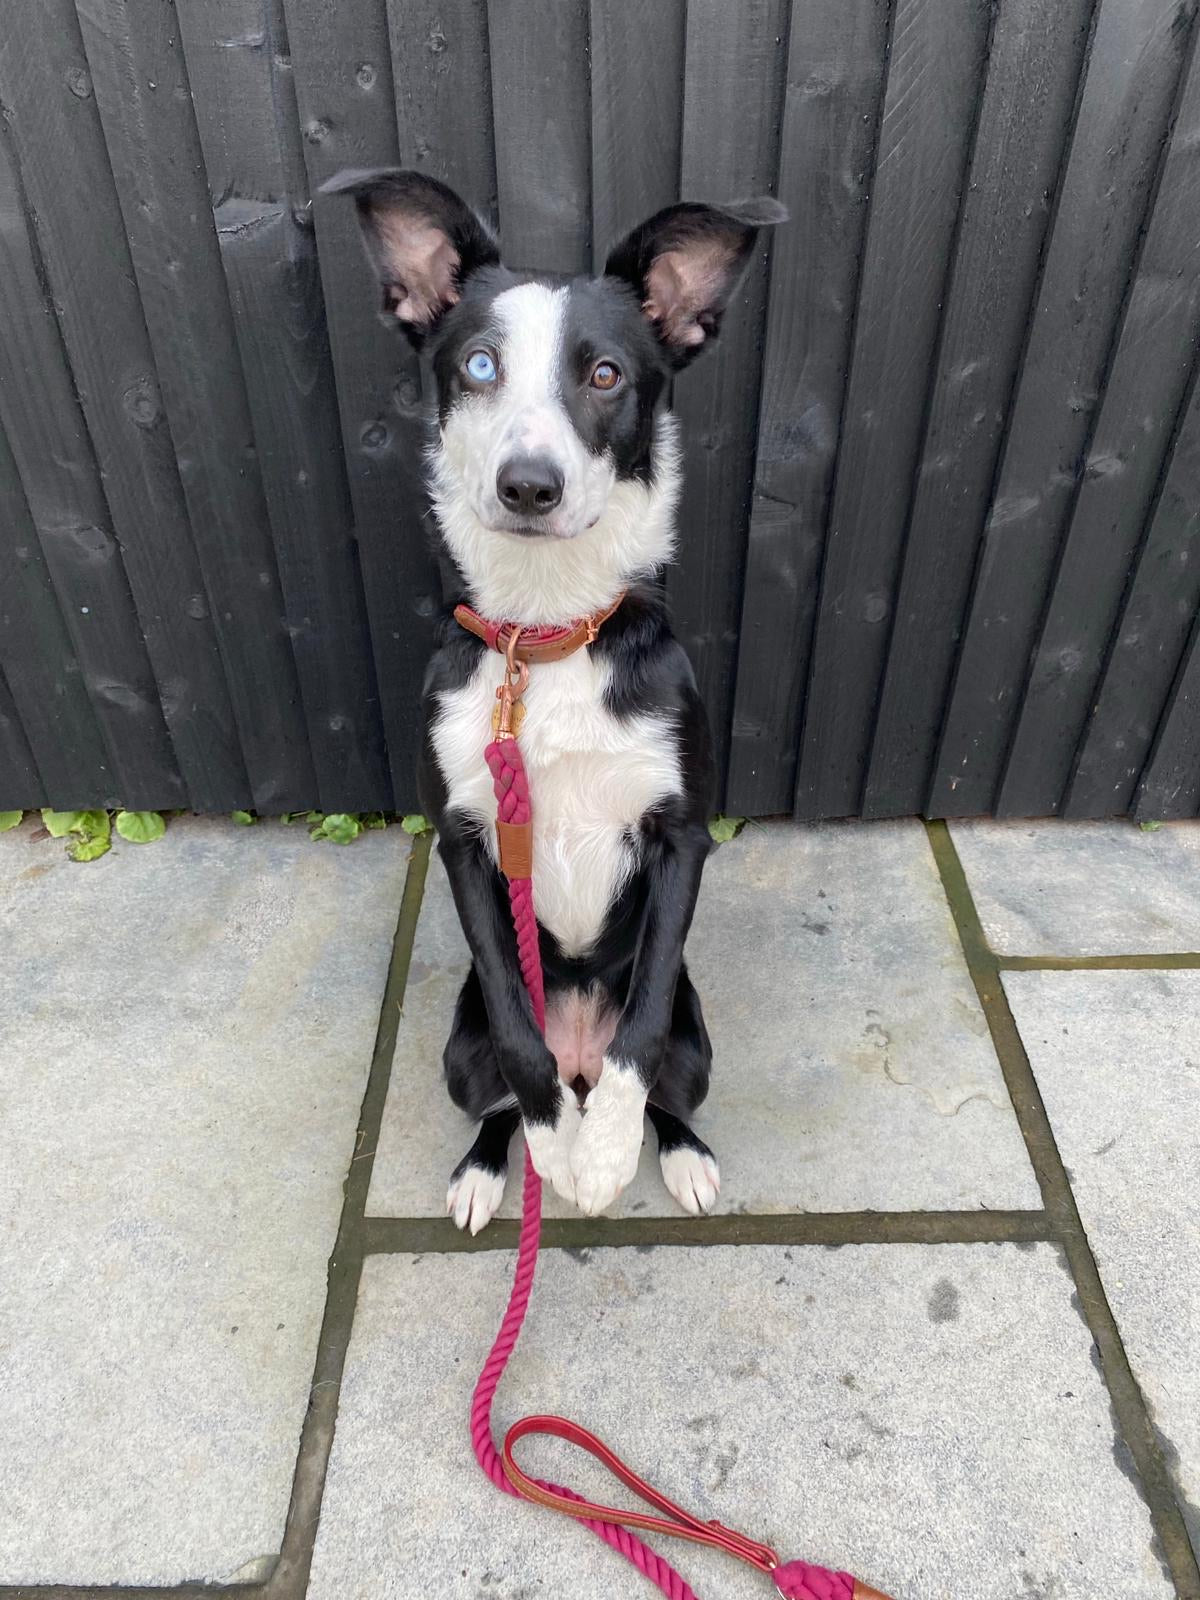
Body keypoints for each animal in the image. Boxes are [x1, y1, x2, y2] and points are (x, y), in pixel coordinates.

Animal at [326, 172, 790, 1222]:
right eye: (480, 365)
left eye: (607, 374)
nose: (528, 486)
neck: (545, 639)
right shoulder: (464, 840)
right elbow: (516, 1026)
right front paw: (555, 1144)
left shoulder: (681, 836)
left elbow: (641, 1029)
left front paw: (607, 1152)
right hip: (456, 1055)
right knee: (497, 1079)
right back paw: (491, 1164)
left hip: (700, 1048)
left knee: (664, 1078)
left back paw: (678, 1151)